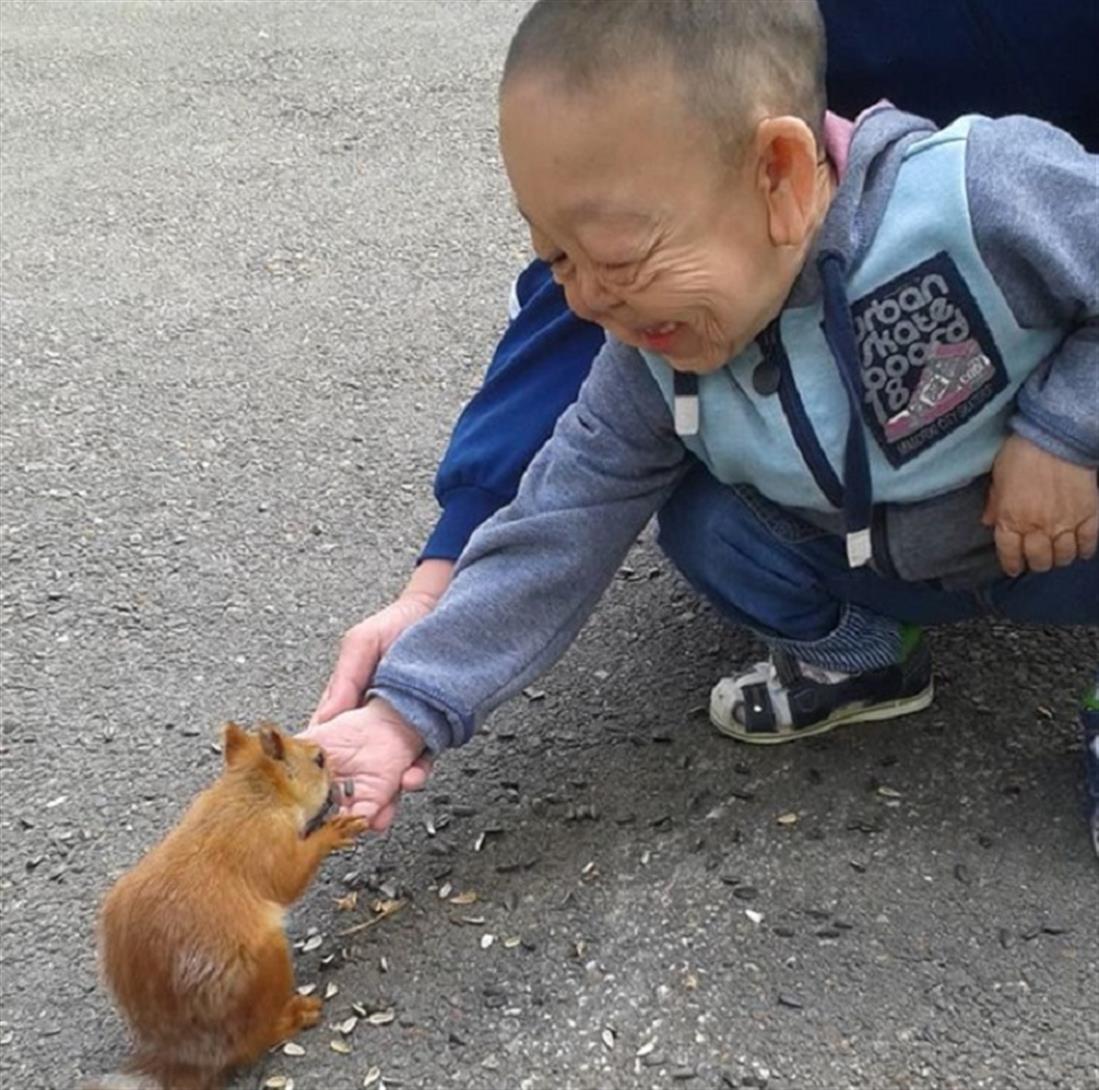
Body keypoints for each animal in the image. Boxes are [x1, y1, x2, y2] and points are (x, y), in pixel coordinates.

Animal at [83, 725, 364, 1090]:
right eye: (319, 760)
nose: (336, 773)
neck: (251, 793)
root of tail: (187, 1055)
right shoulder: (267, 843)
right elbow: (288, 878)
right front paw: (332, 832)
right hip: (261, 969)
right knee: (255, 1039)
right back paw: (294, 1016)